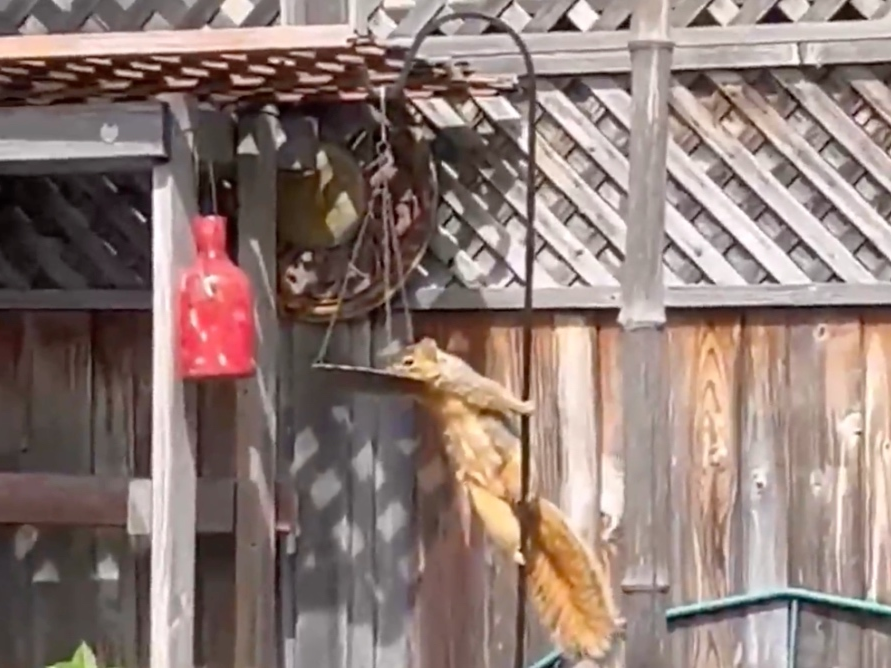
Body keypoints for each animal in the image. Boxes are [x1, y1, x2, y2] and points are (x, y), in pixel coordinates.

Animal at [384, 337, 623, 661]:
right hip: (489, 507)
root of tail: (524, 512)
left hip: (514, 463)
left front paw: (525, 406)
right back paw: (518, 553)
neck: (436, 390)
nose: (389, 371)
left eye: (409, 361)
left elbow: (495, 395)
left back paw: (525, 492)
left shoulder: (466, 381)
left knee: (521, 478)